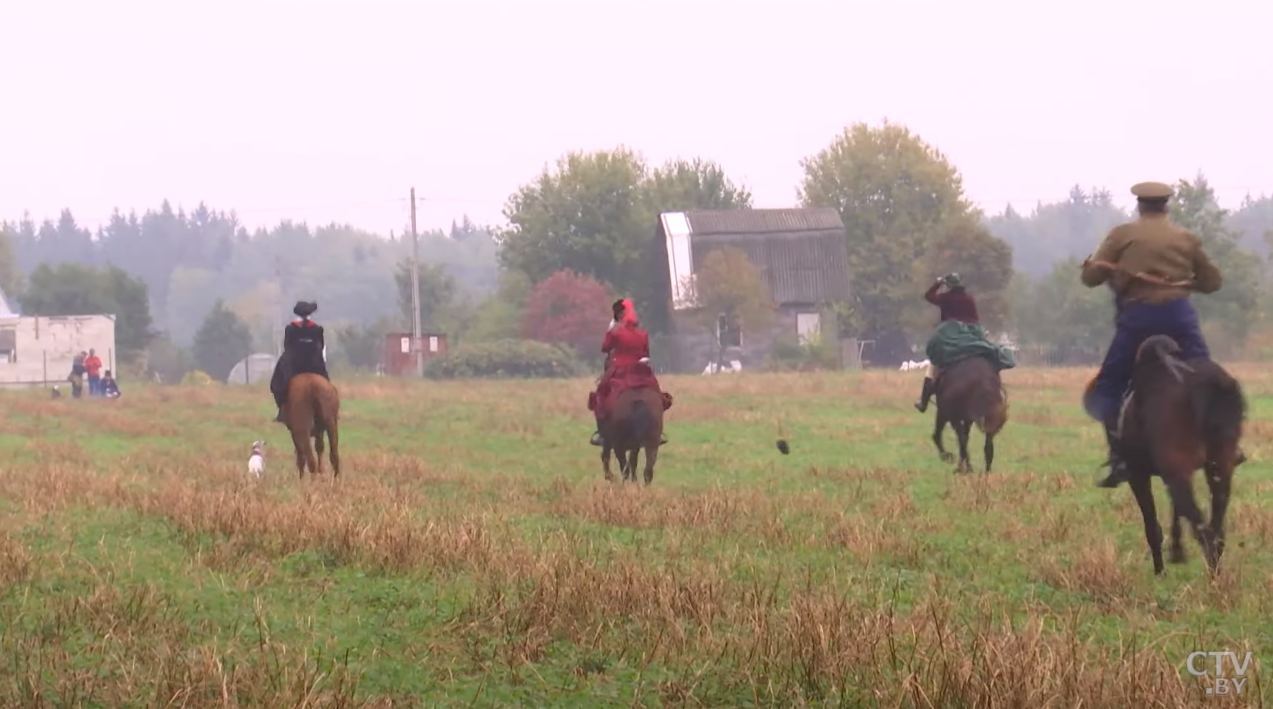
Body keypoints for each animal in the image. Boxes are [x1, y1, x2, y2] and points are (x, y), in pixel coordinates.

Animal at [1120, 336, 1247, 575]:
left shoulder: (1138, 475)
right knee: (1215, 530)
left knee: (1205, 532)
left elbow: (1152, 525)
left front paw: (1161, 570)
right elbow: (1175, 510)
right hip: (1219, 467)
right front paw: (1176, 551)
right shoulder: (1179, 473)